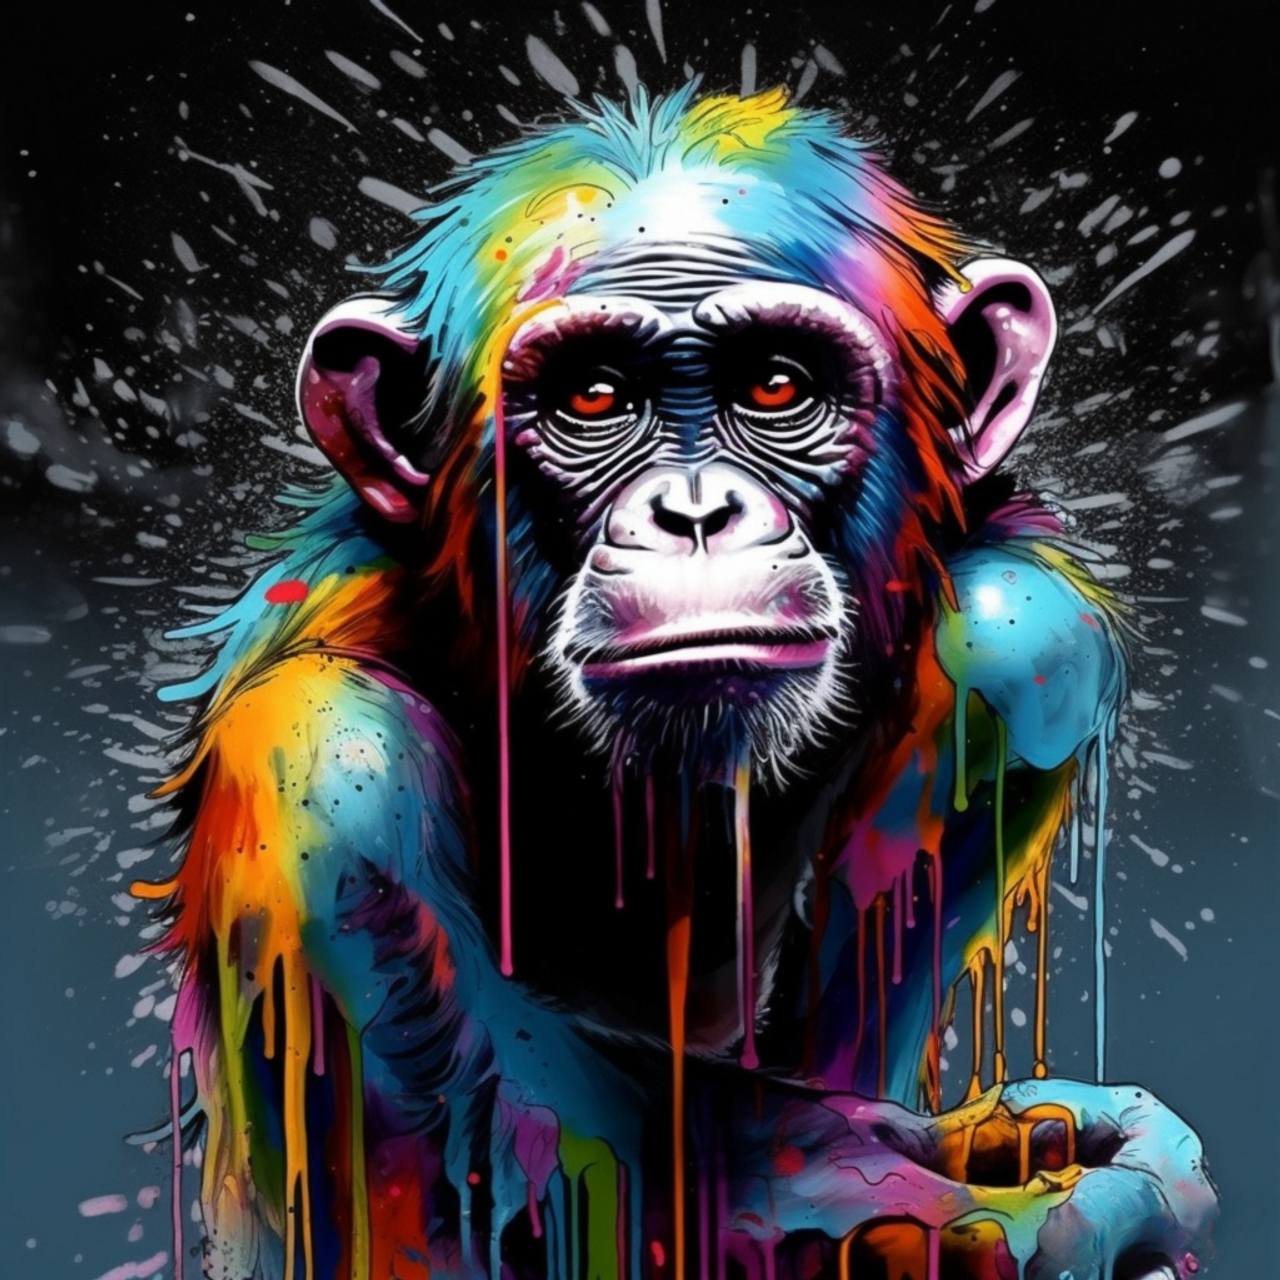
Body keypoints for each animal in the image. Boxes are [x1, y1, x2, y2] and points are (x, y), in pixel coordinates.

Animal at [134, 87, 1216, 1280]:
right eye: (594, 397)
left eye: (777, 385)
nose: (694, 511)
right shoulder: (324, 773)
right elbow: (563, 1160)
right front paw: (1063, 1198)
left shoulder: (1030, 644)